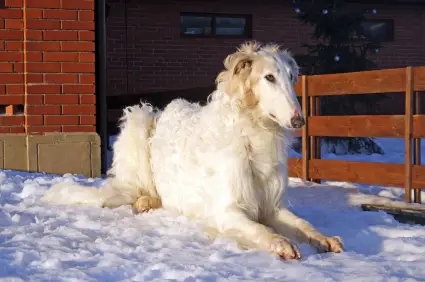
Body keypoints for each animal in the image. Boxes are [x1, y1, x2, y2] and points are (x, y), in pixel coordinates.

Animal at [42, 41, 342, 260]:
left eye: (291, 78)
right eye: (268, 77)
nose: (299, 120)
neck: (252, 136)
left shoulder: (272, 206)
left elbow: (303, 225)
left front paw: (325, 238)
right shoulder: (227, 211)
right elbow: (261, 229)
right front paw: (281, 243)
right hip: (139, 120)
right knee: (141, 191)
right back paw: (144, 202)